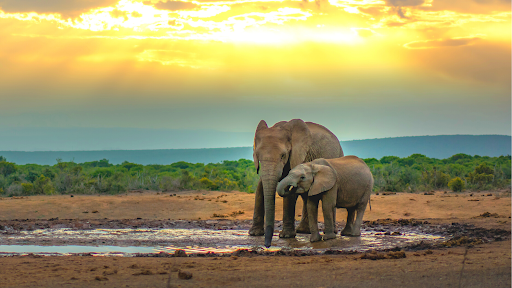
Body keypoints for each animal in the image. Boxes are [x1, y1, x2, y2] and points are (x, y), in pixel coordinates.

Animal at [249, 118, 344, 246]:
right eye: (257, 155)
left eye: (283, 155)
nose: (267, 245)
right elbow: (260, 188)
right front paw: (254, 234)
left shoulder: (298, 156)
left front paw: (286, 236)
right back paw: (303, 231)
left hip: (338, 157)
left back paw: (329, 232)